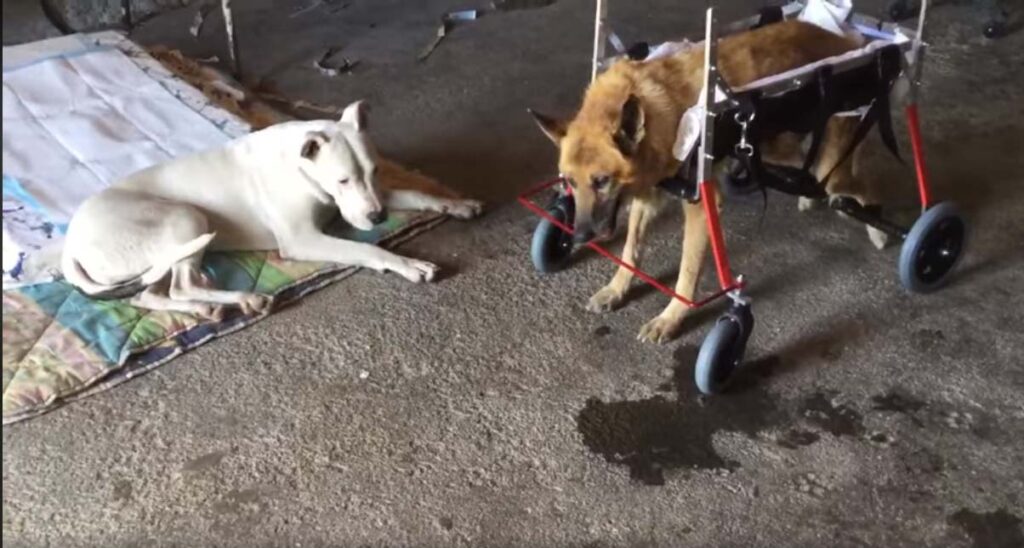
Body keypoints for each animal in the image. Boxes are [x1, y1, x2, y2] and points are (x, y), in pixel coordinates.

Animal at [60, 101, 483, 319]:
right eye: (343, 179)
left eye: (375, 170)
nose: (379, 219)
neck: (303, 169)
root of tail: (69, 246)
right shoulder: (303, 239)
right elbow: (367, 248)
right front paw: (408, 264)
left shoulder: (365, 200)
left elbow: (415, 194)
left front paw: (455, 203)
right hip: (186, 218)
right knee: (181, 285)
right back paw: (239, 300)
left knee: (151, 295)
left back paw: (210, 307)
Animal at [532, 22, 884, 348]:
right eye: (569, 181)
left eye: (602, 181)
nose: (578, 237)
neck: (659, 115)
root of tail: (842, 39)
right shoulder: (649, 197)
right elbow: (631, 251)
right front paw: (617, 290)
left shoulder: (702, 208)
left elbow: (686, 274)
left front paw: (670, 319)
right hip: (777, 153)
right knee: (812, 175)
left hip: (819, 168)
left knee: (850, 187)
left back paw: (877, 228)